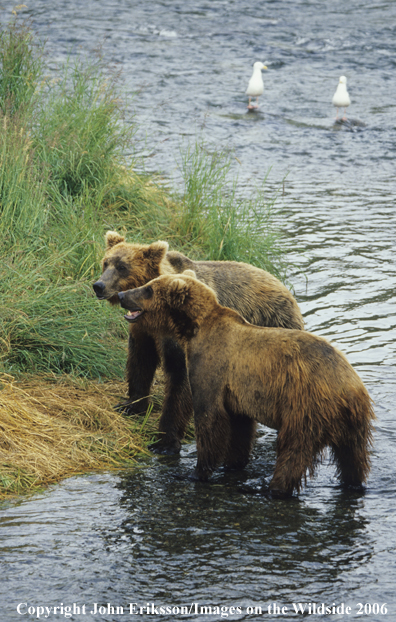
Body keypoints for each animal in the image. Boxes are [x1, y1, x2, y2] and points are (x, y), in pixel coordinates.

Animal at [93, 232, 304, 456]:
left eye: (122, 267)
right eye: (106, 262)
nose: (99, 286)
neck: (157, 318)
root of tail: (284, 288)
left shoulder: (180, 339)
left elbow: (180, 378)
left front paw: (164, 440)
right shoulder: (143, 332)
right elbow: (140, 361)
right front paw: (131, 404)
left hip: (272, 327)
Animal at [117, 272, 374, 498]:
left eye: (148, 288)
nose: (121, 294)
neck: (193, 331)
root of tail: (350, 387)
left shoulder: (211, 366)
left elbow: (210, 419)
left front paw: (196, 472)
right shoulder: (238, 391)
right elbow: (239, 427)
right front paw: (233, 463)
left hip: (306, 406)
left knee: (293, 450)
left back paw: (271, 489)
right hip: (354, 422)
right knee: (353, 457)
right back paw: (352, 484)